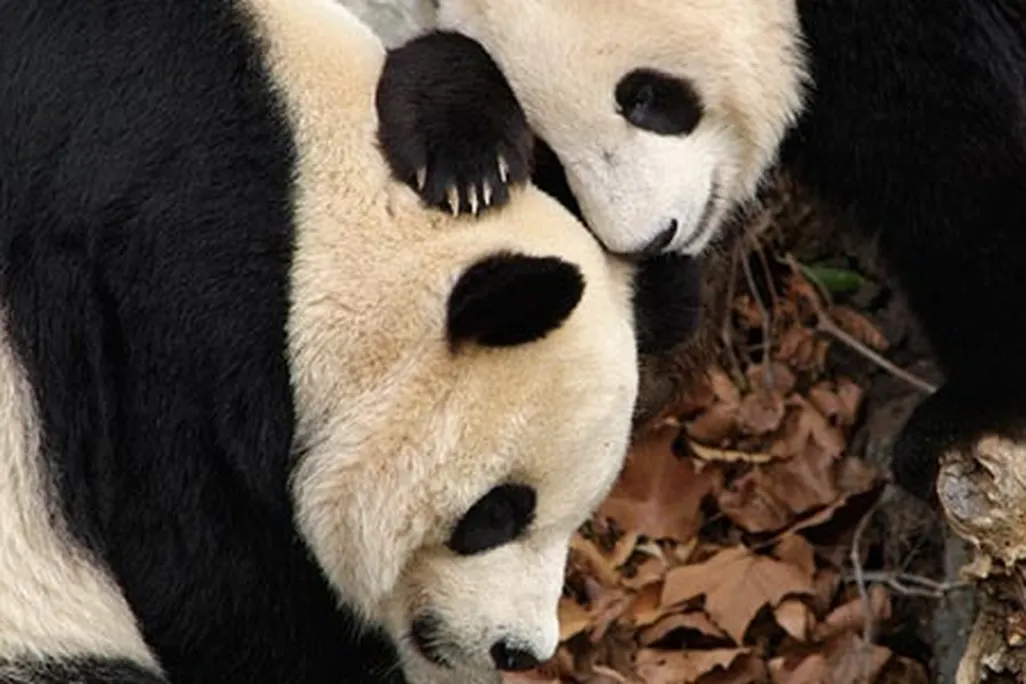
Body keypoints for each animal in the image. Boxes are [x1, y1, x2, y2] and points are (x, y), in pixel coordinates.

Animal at [376, 0, 1026, 505]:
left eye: (643, 95)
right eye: (551, 153)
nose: (652, 238)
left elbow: (964, 169)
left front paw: (967, 415)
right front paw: (461, 148)